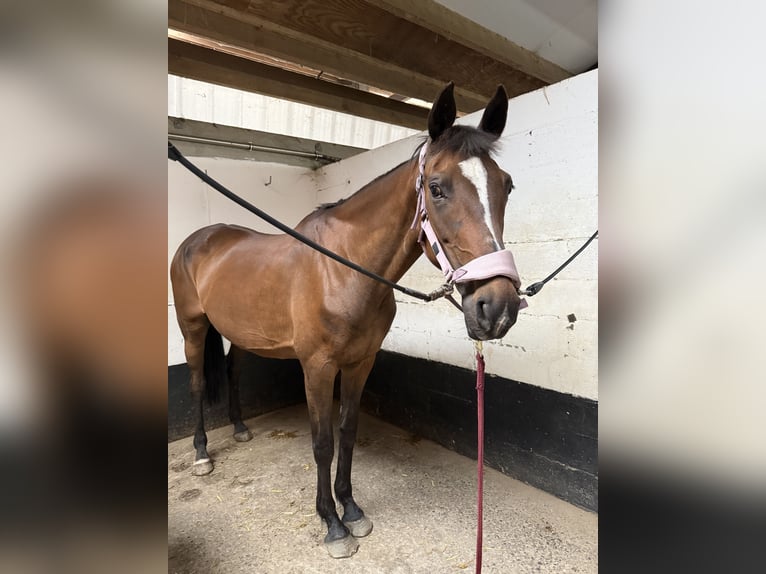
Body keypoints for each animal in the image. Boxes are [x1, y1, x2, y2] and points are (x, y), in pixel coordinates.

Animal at [170, 82, 523, 558]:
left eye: (507, 185)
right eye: (436, 187)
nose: (498, 308)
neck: (343, 269)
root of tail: (197, 240)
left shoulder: (360, 363)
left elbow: (348, 431)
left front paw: (351, 510)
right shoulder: (317, 368)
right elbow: (322, 442)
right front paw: (332, 524)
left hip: (240, 334)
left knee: (233, 370)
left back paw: (241, 427)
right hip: (192, 327)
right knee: (195, 383)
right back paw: (202, 453)